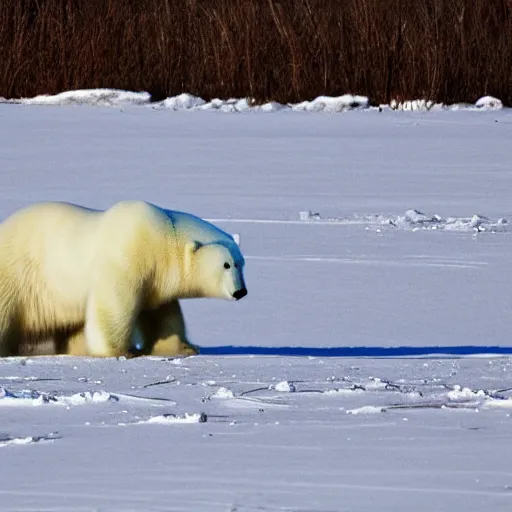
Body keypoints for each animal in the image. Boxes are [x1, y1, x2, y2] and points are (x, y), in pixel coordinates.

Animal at [0, 198, 246, 358]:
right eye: (226, 264)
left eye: (241, 263)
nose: (241, 291)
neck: (164, 237)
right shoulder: (128, 255)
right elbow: (115, 304)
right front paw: (122, 351)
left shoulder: (157, 278)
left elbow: (161, 314)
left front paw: (182, 347)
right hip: (15, 275)